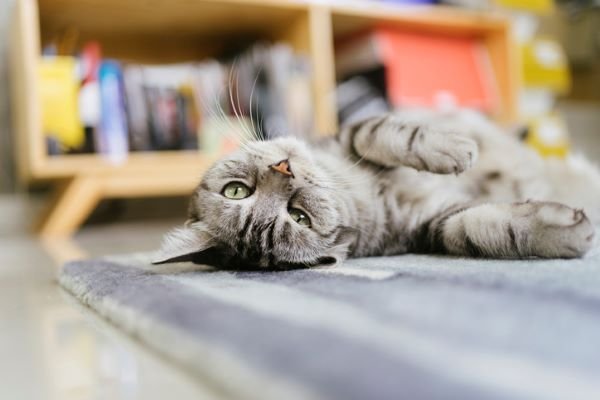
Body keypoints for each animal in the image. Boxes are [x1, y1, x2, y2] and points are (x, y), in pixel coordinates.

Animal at [156, 109, 600, 268]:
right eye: (300, 218)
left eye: (235, 191)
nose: (284, 168)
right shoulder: (429, 226)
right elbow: (479, 229)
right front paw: (565, 231)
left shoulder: (350, 135)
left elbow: (381, 134)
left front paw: (452, 149)